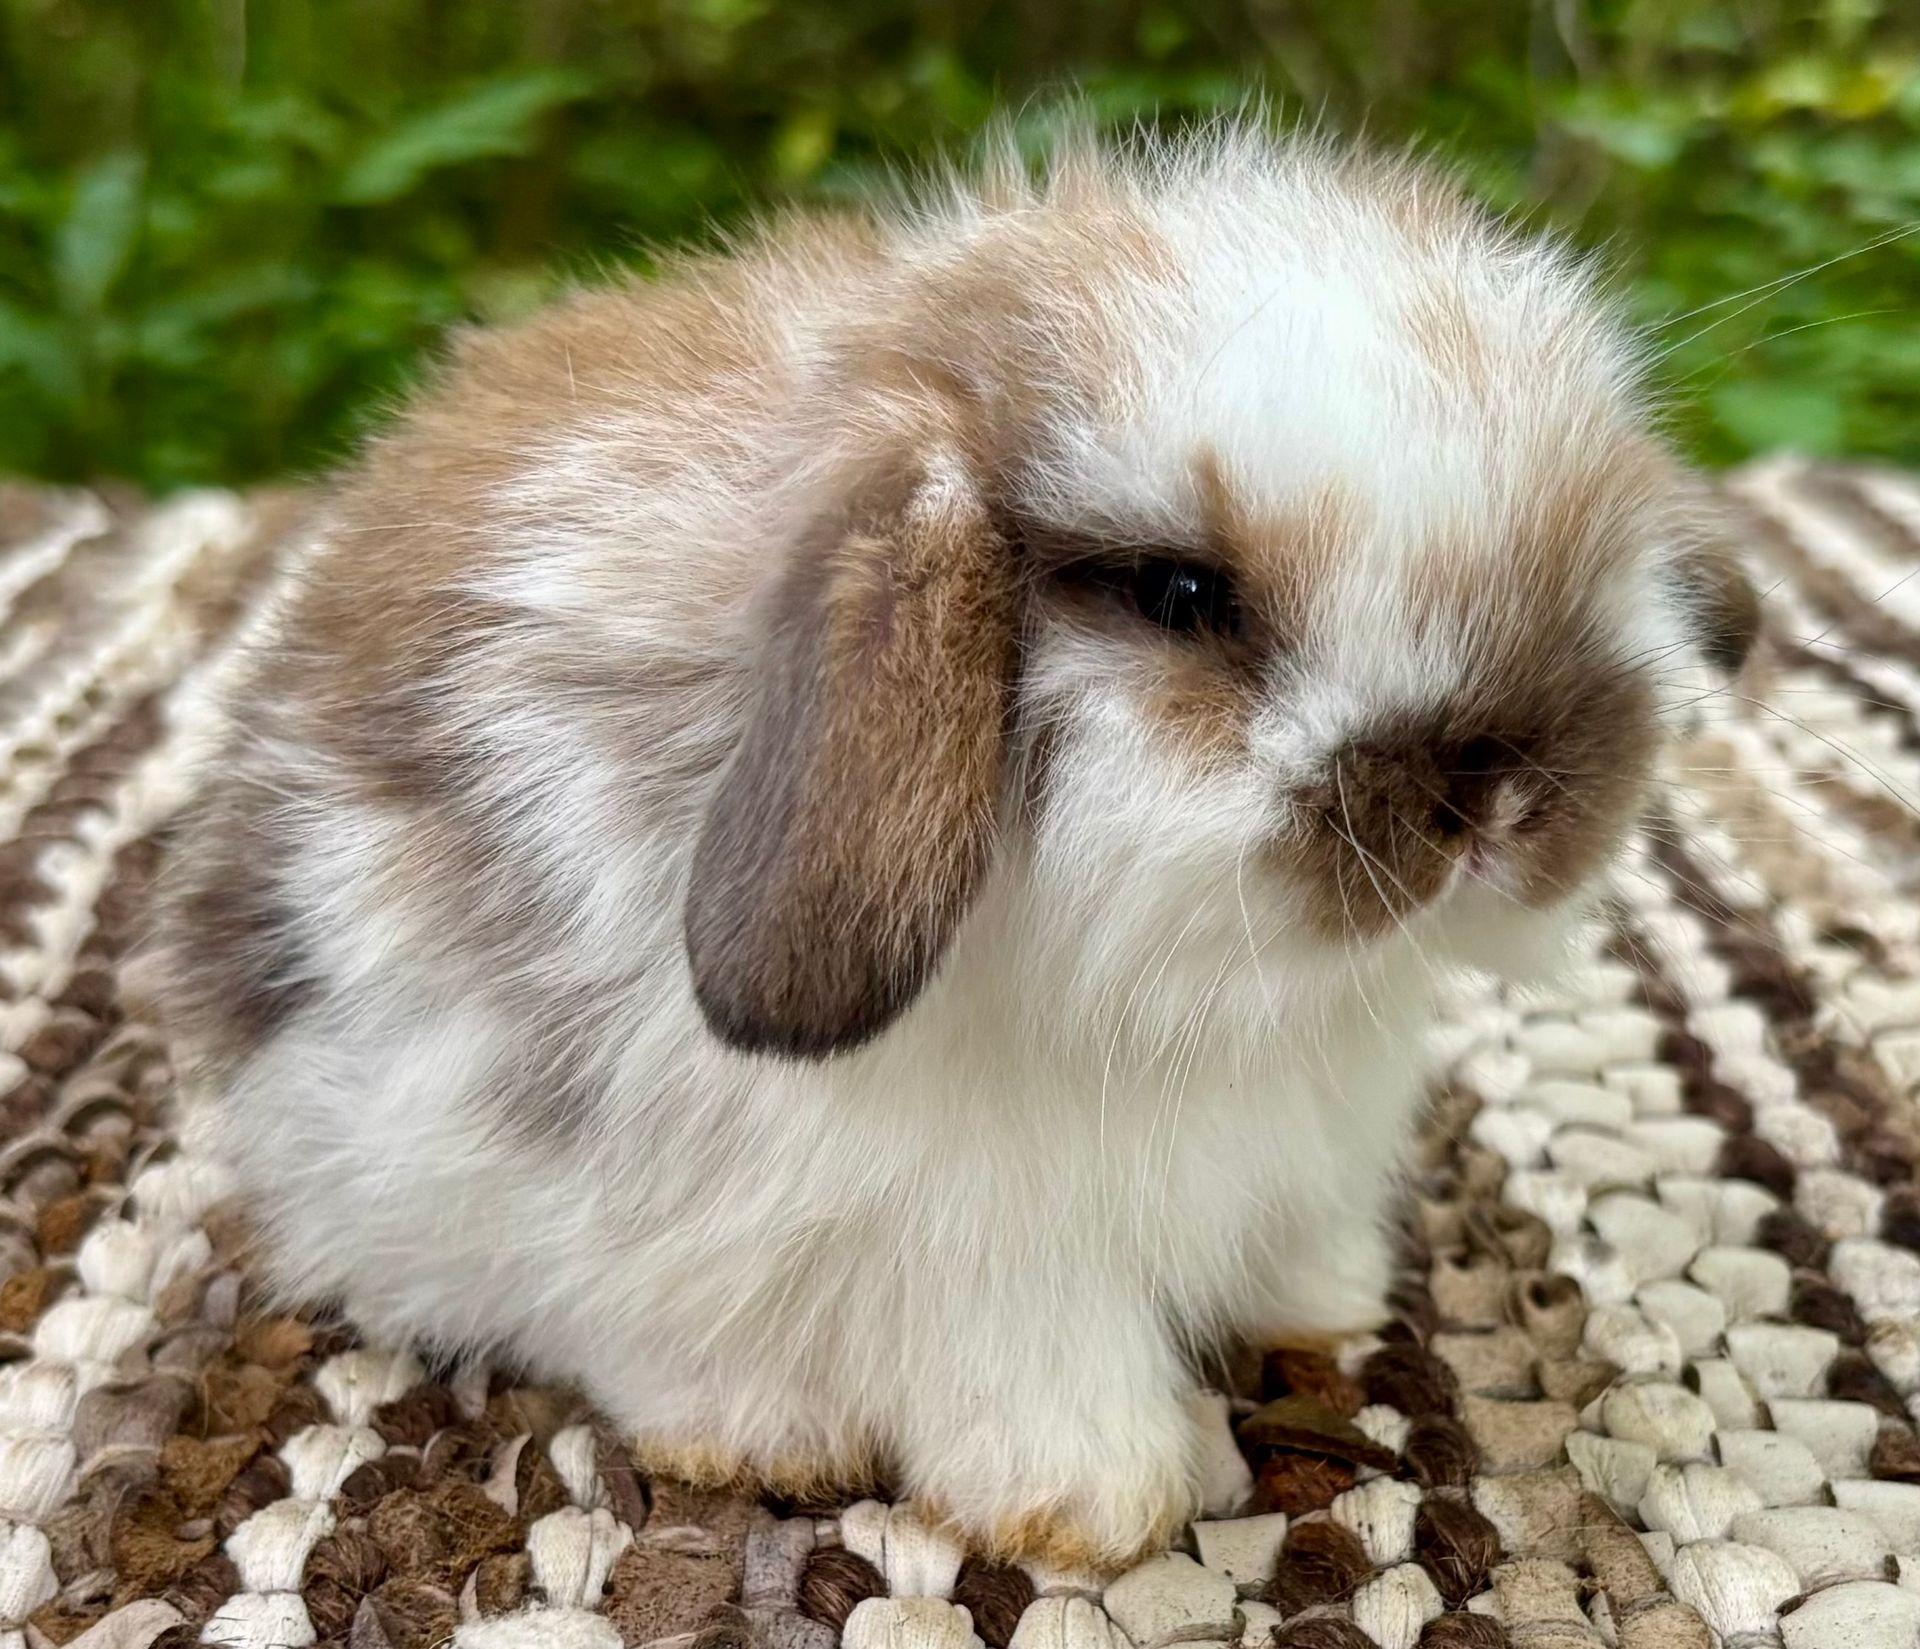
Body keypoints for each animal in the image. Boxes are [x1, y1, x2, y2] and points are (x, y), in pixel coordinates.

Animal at [147, 119, 1758, 1569]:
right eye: (1180, 594)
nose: (1498, 792)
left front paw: (1329, 1305)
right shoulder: (970, 1240)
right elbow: (1037, 1365)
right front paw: (1103, 1497)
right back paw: (759, 1429)